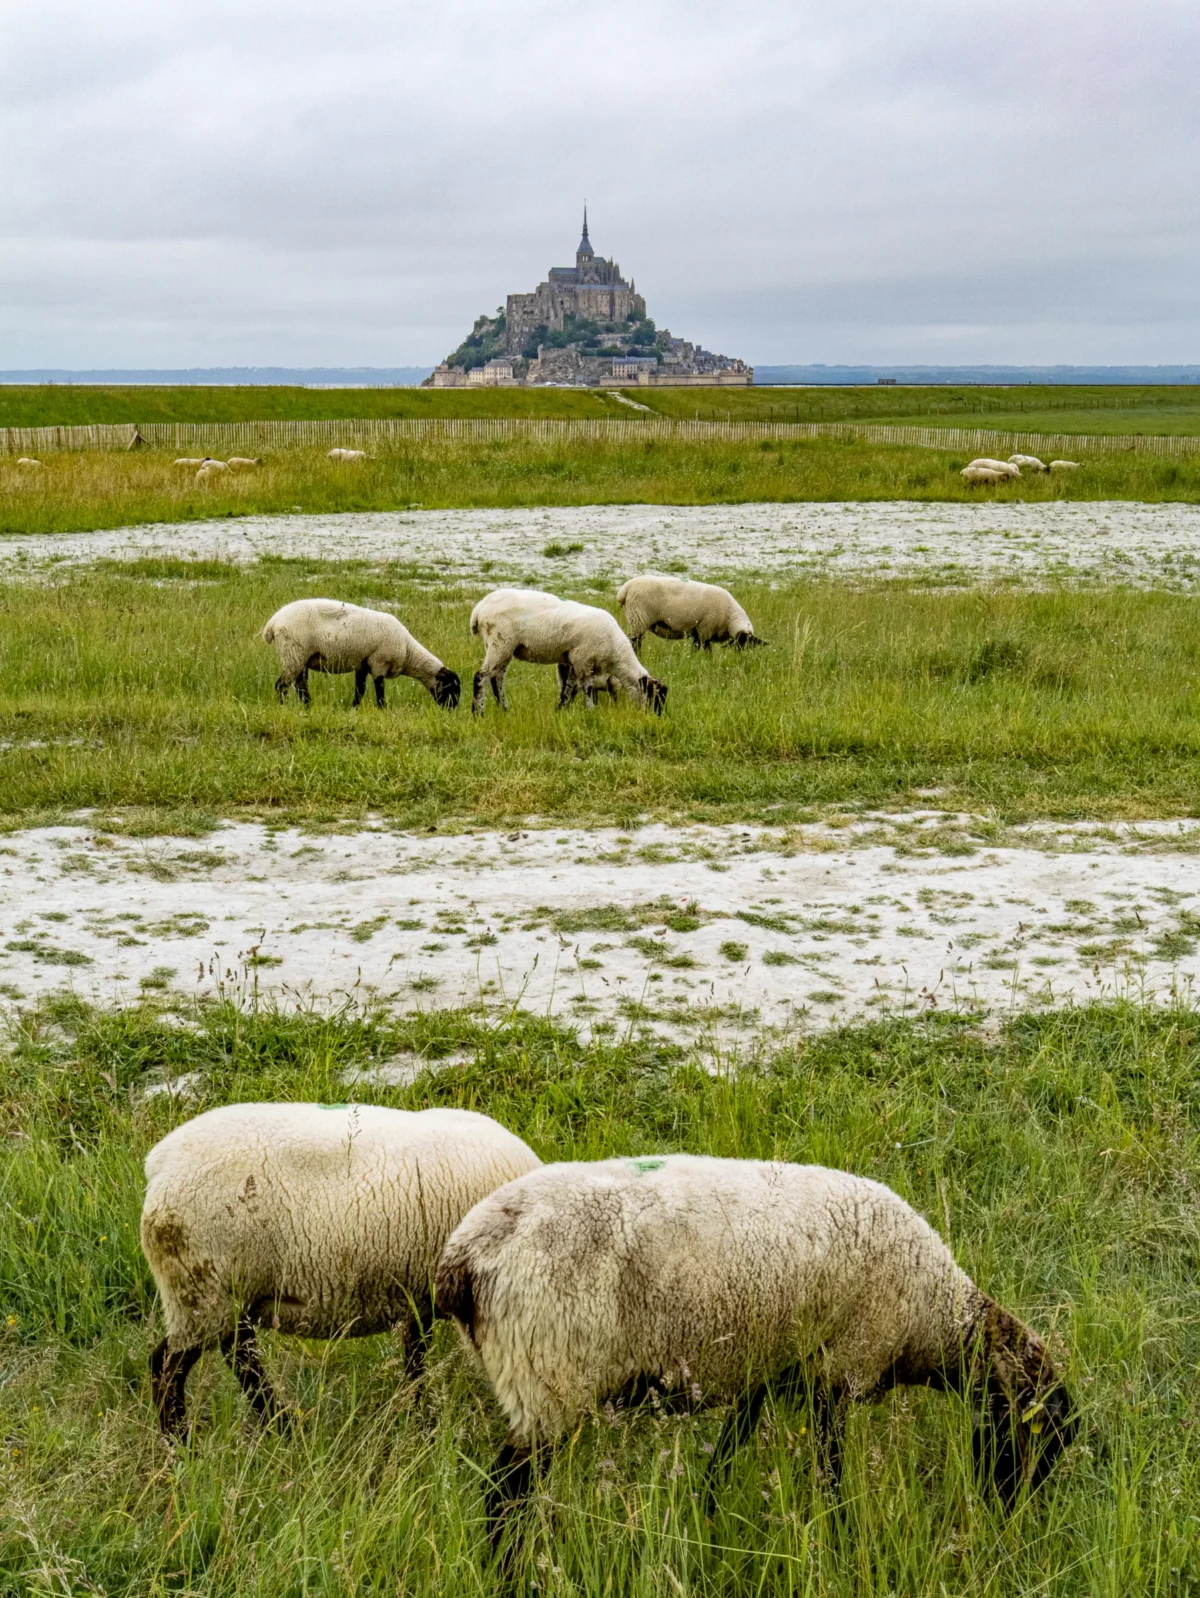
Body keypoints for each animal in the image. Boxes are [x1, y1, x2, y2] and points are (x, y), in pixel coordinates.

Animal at [141, 1102, 541, 1434]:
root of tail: (160, 1163)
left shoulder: (420, 1293)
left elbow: (415, 1354)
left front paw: (416, 1414)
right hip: (201, 1290)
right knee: (167, 1367)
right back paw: (182, 1442)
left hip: (226, 1296)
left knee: (239, 1357)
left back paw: (281, 1426)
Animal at [263, 597, 460, 708]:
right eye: (451, 687)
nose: (452, 709)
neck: (408, 652)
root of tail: (273, 623)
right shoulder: (379, 662)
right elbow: (379, 690)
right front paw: (383, 710)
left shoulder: (363, 664)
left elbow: (360, 689)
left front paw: (354, 708)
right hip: (293, 653)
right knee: (282, 685)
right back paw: (284, 707)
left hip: (299, 657)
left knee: (300, 685)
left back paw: (308, 706)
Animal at [436, 1155, 1074, 1544]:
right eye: (1039, 1441)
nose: (1013, 1519)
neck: (934, 1316)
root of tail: (463, 1259)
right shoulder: (839, 1371)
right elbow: (830, 1474)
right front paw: (840, 1536)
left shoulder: (766, 1372)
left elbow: (725, 1456)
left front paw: (707, 1520)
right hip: (548, 1378)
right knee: (504, 1498)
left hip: (534, 1381)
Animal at [470, 587, 667, 716]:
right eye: (654, 697)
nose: (656, 717)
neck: (616, 654)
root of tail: (479, 609)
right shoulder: (583, 659)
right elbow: (587, 688)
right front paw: (590, 712)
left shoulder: (574, 660)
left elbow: (569, 689)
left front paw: (562, 710)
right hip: (500, 642)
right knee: (481, 676)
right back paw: (478, 712)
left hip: (503, 647)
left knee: (497, 678)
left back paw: (505, 709)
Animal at [616, 573, 766, 655]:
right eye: (741, 644)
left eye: (751, 646)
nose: (741, 658)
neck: (729, 616)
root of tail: (625, 589)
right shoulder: (705, 629)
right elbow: (706, 650)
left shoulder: (698, 631)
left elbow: (695, 648)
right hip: (638, 619)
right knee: (634, 643)